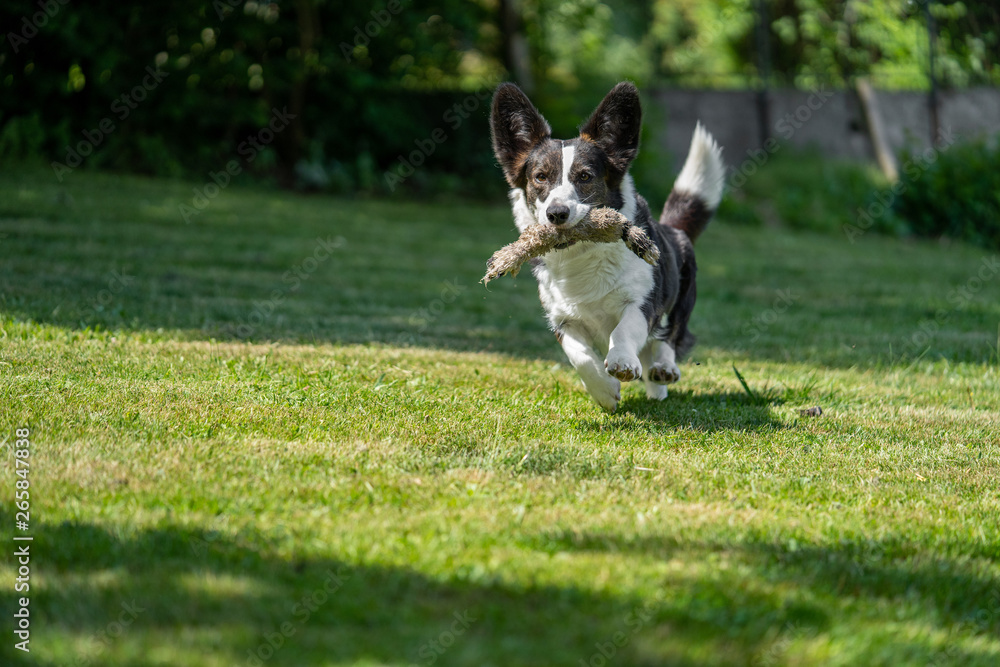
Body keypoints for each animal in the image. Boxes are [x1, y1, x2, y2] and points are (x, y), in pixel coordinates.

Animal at [488, 81, 724, 410]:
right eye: (540, 177)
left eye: (585, 176)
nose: (556, 214)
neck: (580, 257)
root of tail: (672, 228)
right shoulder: (562, 320)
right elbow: (581, 357)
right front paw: (605, 392)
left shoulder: (642, 302)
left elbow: (625, 329)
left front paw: (622, 362)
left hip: (682, 297)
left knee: (669, 336)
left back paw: (663, 370)